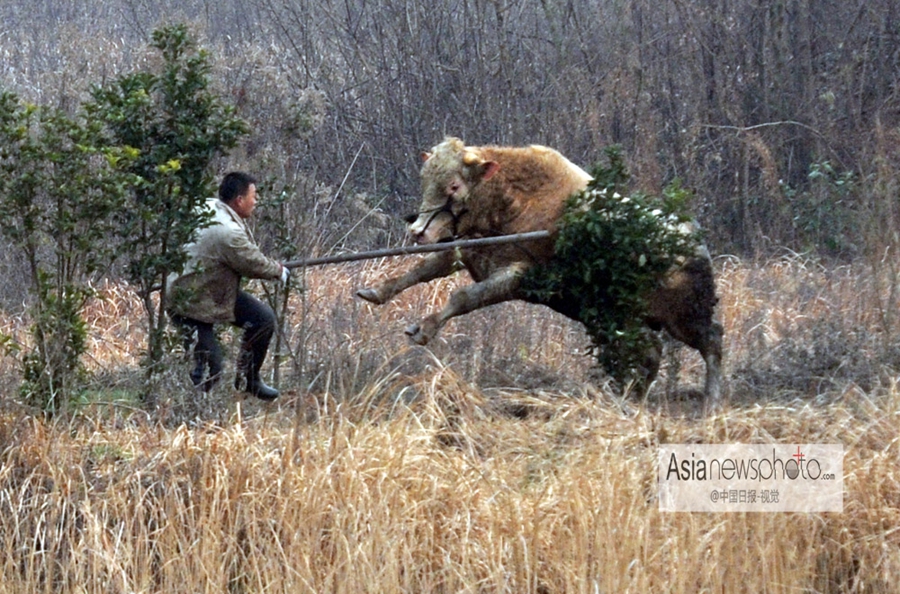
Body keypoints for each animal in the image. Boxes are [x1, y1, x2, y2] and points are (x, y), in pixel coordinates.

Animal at [354, 136, 724, 404]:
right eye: (425, 180)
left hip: (685, 317)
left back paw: (711, 399)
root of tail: (695, 242)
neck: (513, 204)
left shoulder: (516, 277)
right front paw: (376, 291)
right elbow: (423, 269)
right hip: (622, 319)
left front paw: (424, 328)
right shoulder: (468, 251)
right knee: (650, 353)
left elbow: (463, 297)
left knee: (711, 341)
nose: (418, 231)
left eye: (454, 186)